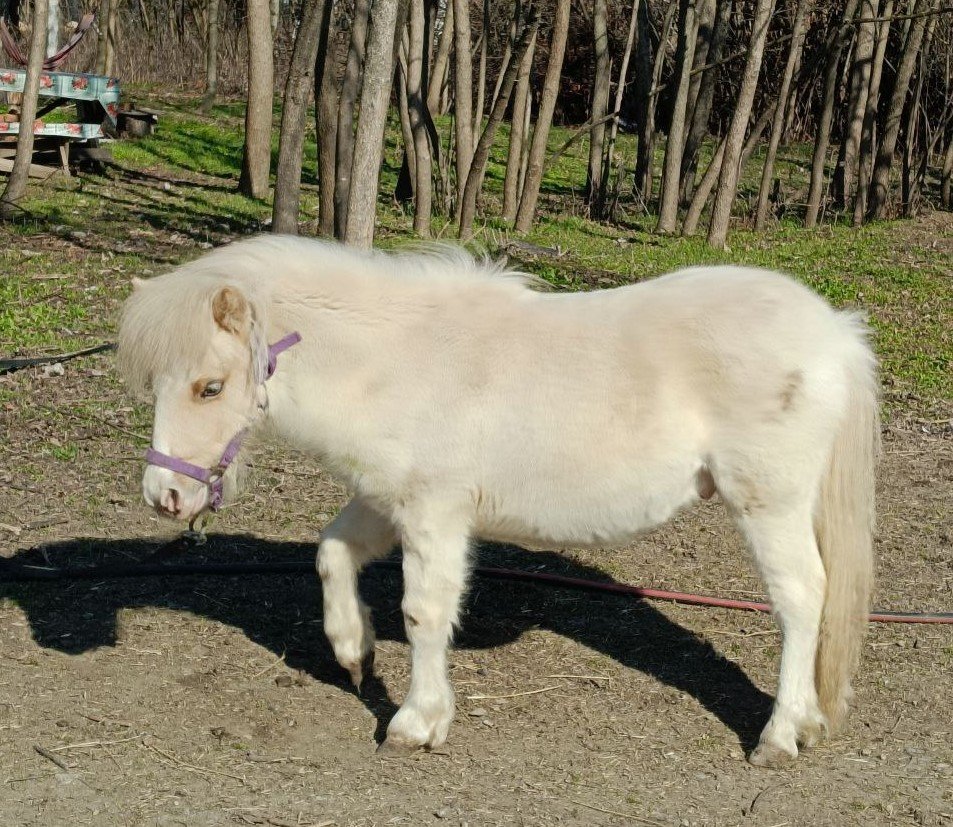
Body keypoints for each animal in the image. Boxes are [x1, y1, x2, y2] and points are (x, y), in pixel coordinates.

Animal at [119, 233, 876, 764]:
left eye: (210, 387)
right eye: (158, 382)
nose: (165, 495)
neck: (397, 360)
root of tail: (833, 332)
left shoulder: (434, 512)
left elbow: (424, 612)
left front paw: (417, 721)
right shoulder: (388, 501)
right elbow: (331, 553)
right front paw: (353, 651)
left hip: (769, 503)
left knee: (801, 598)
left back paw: (779, 734)